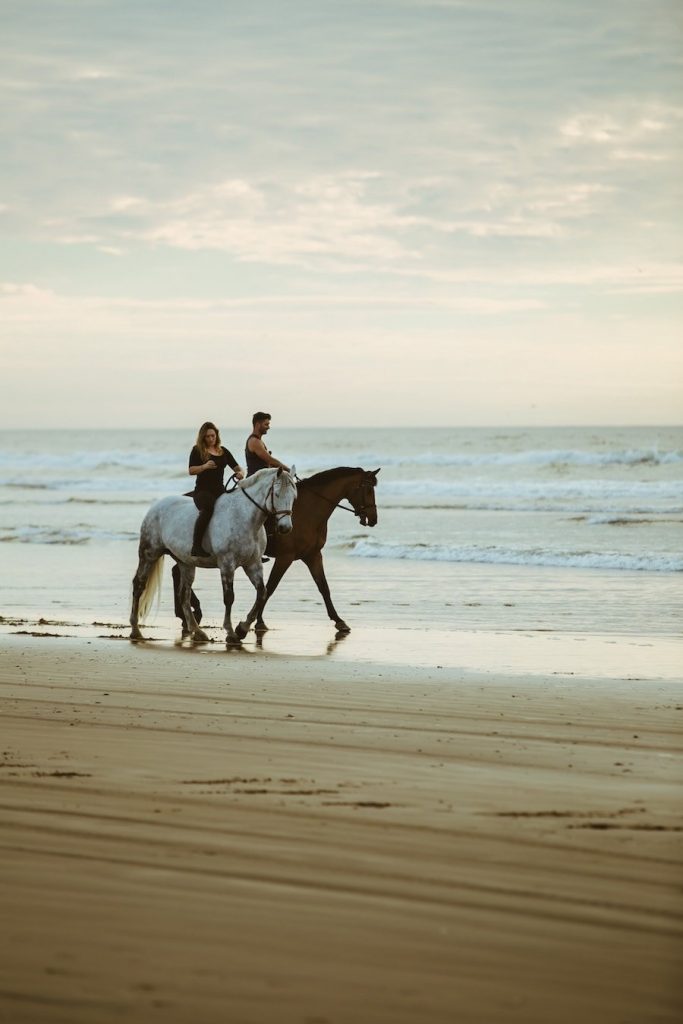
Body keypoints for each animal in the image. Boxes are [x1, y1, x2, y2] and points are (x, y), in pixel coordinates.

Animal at [129, 467, 297, 645]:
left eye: (294, 497)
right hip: (149, 554)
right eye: (277, 494)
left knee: (184, 595)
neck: (244, 517)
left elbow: (261, 593)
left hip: (186, 563)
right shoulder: (227, 564)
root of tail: (155, 507)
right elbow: (229, 597)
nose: (285, 527)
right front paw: (231, 632)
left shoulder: (253, 564)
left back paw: (198, 632)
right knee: (139, 585)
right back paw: (135, 630)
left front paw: (242, 629)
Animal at [173, 466, 379, 635]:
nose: (373, 518)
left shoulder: (313, 555)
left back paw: (186, 615)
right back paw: (189, 614)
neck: (309, 511)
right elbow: (270, 587)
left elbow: (324, 588)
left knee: (177, 572)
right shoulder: (285, 557)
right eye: (368, 490)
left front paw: (339, 621)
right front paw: (257, 622)